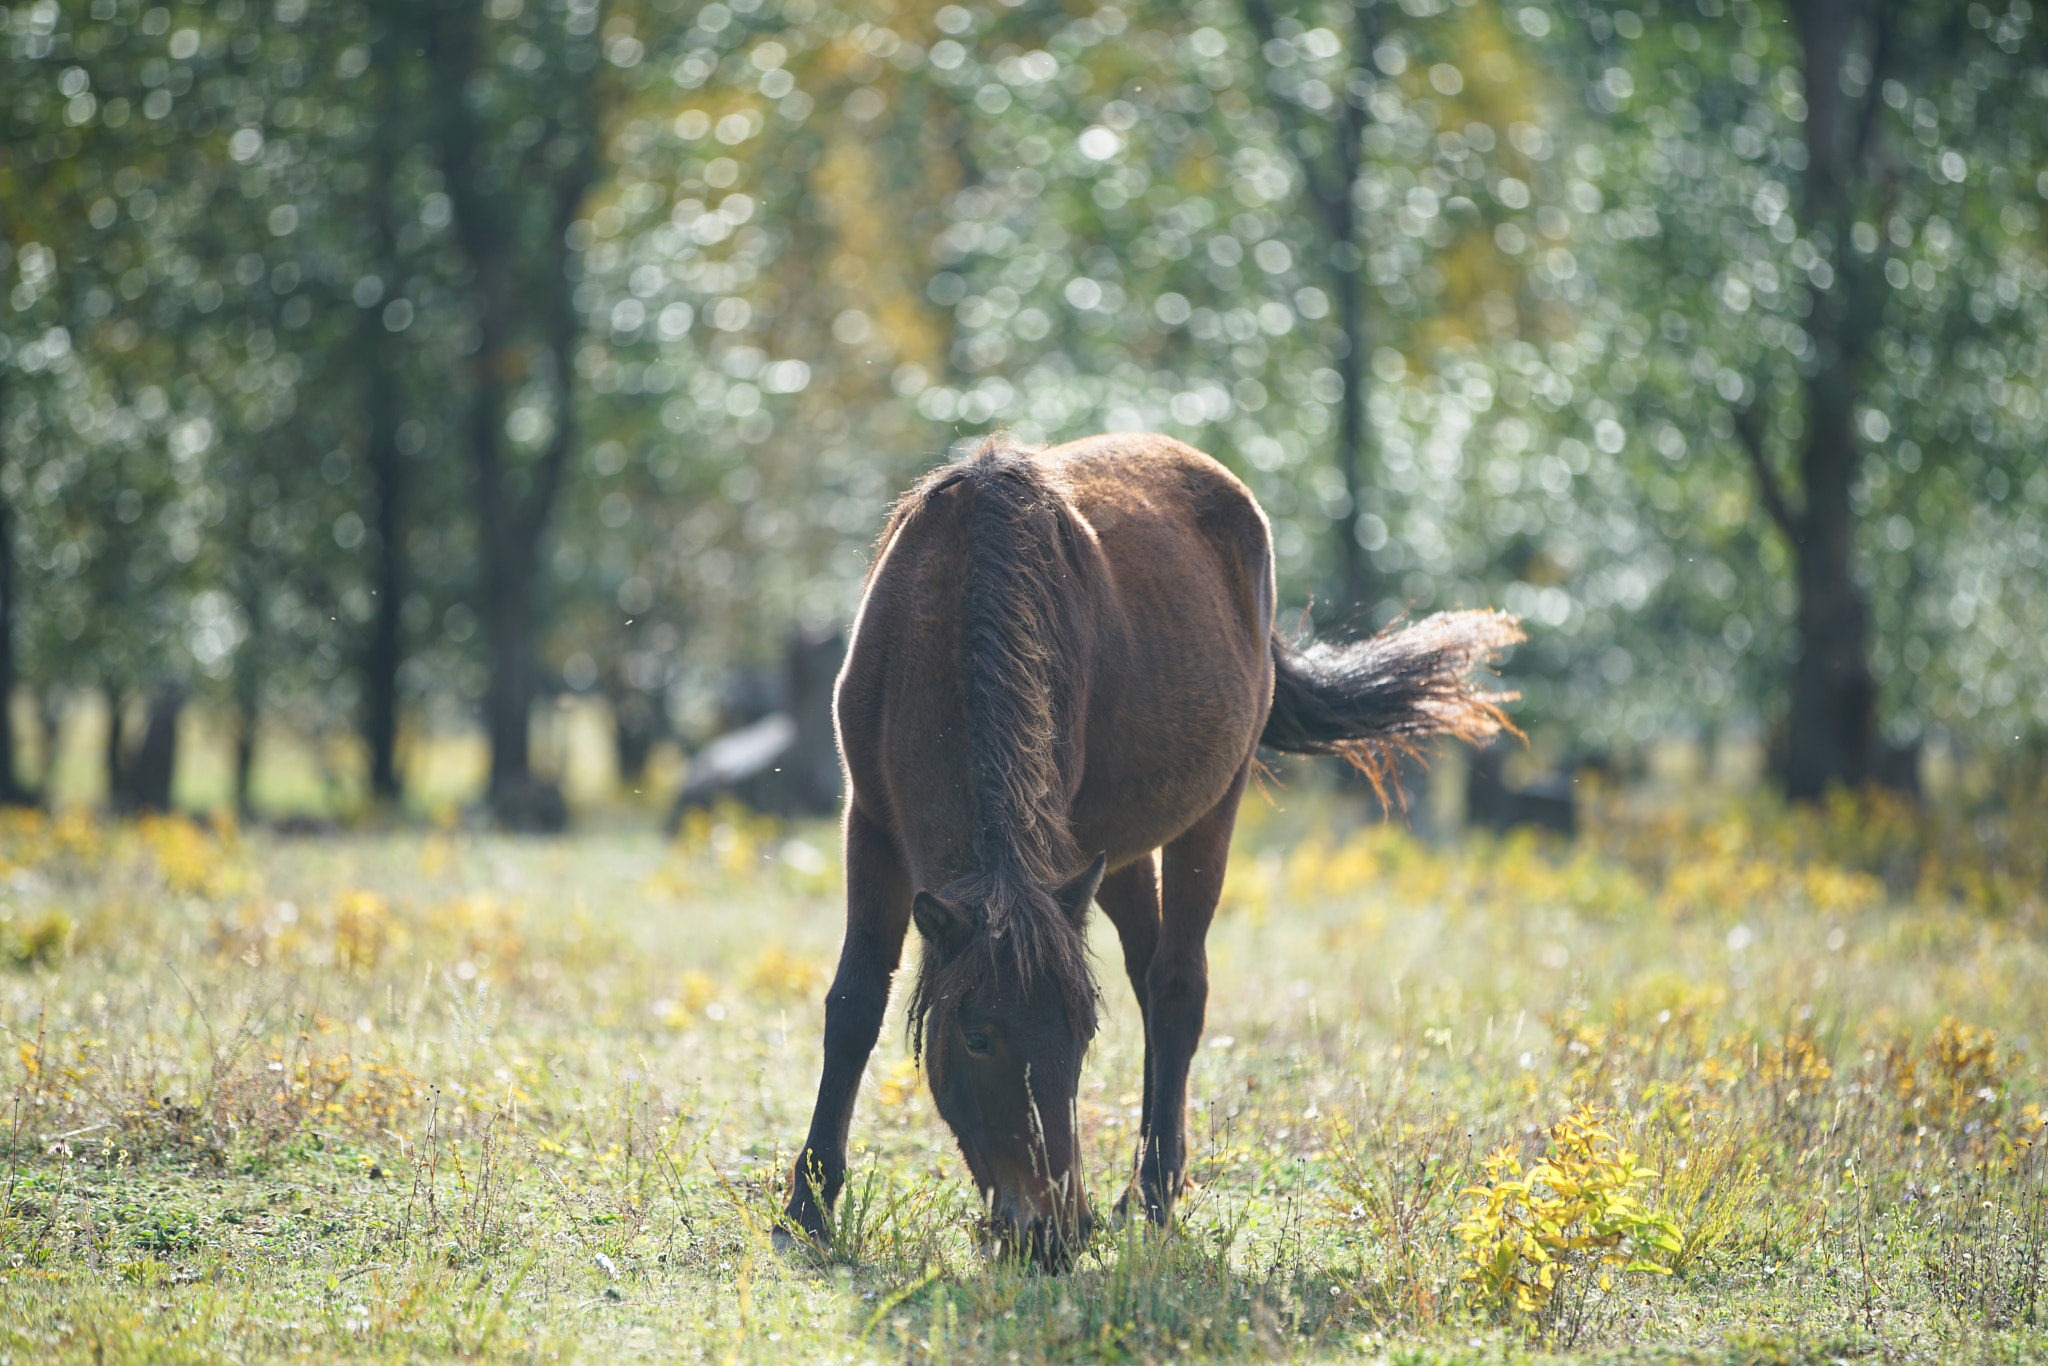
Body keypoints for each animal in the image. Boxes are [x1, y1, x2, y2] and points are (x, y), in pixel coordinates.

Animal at [779, 435, 1521, 1270]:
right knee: (1146, 975)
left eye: (1079, 1038)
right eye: (978, 1037)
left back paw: (1154, 1191)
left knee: (1176, 985)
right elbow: (854, 1003)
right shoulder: (871, 824)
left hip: (1213, 806)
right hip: (1114, 853)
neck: (950, 608)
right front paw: (807, 1210)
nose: (1053, 1233)